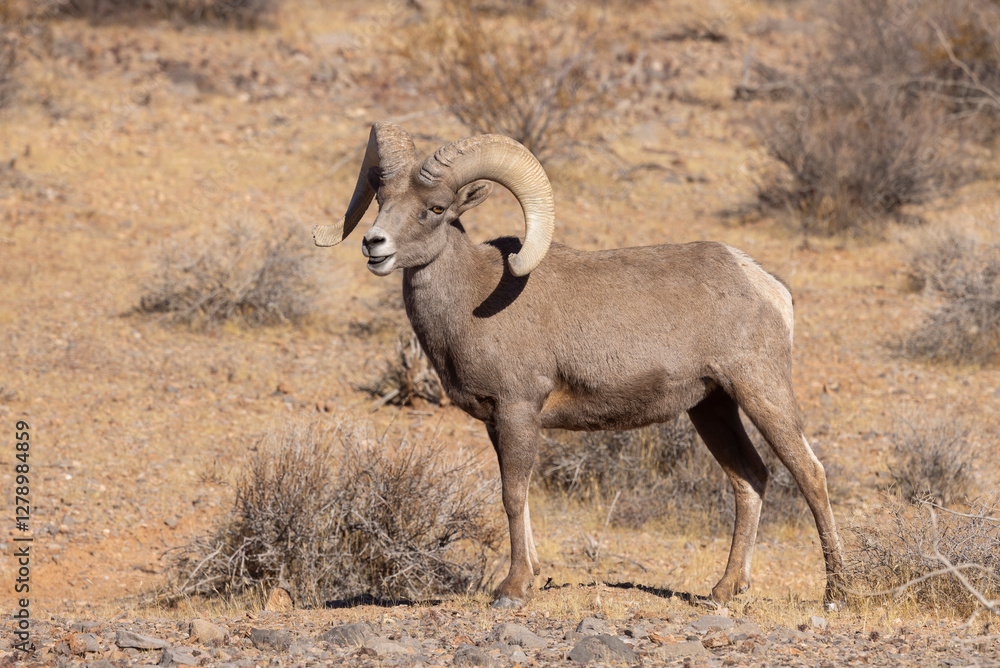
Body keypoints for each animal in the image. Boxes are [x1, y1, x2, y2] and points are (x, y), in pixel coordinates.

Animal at [314, 121, 845, 608]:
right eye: (381, 200)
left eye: (437, 209)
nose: (374, 245)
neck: (471, 299)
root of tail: (765, 284)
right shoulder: (496, 422)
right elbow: (520, 496)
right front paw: (530, 578)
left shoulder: (518, 410)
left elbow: (512, 496)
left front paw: (511, 590)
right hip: (712, 408)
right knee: (749, 479)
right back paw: (725, 590)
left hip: (760, 391)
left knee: (809, 474)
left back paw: (836, 592)